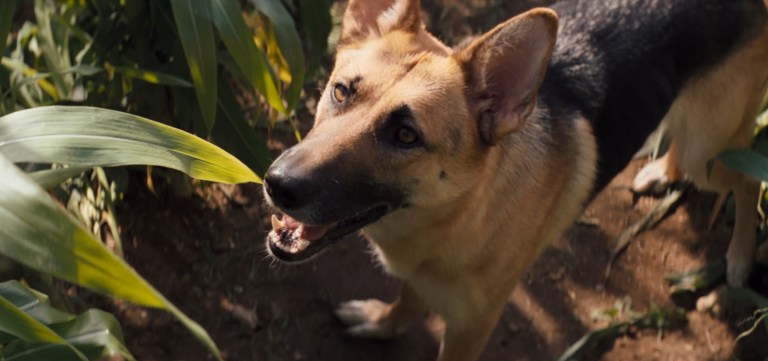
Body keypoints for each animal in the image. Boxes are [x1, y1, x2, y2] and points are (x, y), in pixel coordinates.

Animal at [262, 1, 768, 358]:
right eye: (341, 91)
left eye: (406, 136)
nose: (276, 184)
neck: (462, 210)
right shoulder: (422, 277)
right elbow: (408, 299)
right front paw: (384, 323)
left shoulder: (472, 327)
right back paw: (662, 172)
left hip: (710, 148)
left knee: (747, 183)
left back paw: (739, 261)